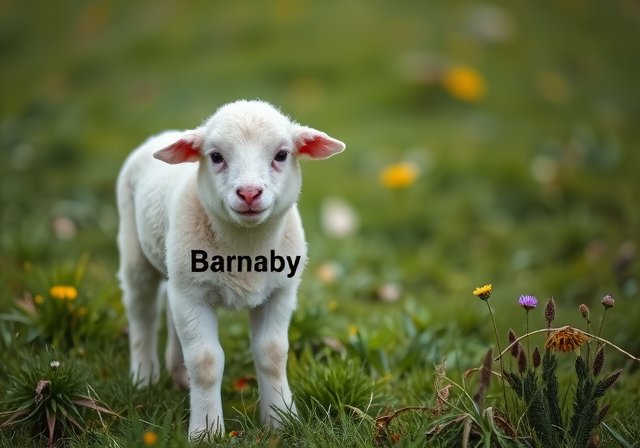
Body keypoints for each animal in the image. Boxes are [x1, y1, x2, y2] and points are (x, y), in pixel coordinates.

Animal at [116, 99, 345, 439]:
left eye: (281, 155)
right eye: (216, 157)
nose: (249, 193)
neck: (245, 249)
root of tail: (165, 133)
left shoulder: (281, 291)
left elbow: (273, 353)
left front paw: (282, 420)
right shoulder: (193, 295)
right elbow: (206, 361)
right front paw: (206, 431)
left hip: (177, 270)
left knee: (168, 309)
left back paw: (178, 374)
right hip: (136, 251)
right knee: (142, 311)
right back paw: (143, 378)